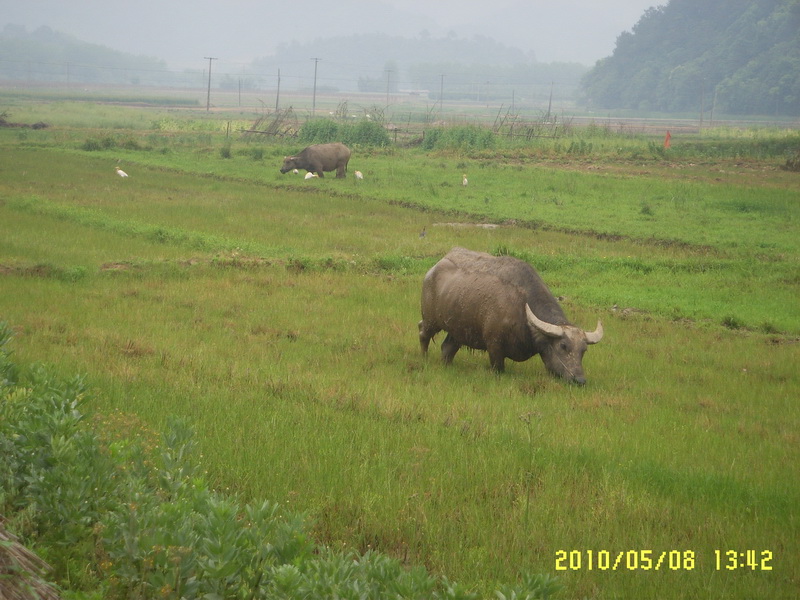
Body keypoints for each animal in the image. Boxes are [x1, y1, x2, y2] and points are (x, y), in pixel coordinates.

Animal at [418, 247, 600, 384]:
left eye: (583, 350)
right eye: (563, 346)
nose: (579, 380)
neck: (521, 307)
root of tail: (434, 268)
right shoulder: (494, 346)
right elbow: (498, 367)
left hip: (458, 330)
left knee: (447, 347)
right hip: (431, 320)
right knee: (422, 333)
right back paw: (424, 358)